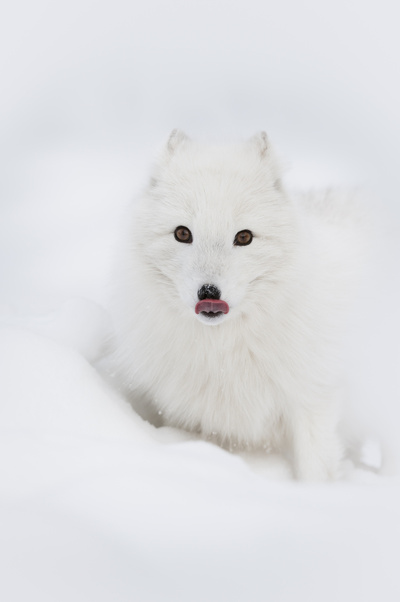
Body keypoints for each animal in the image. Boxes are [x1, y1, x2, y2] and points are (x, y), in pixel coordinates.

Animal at [112, 130, 362, 478]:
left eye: (244, 237)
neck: (225, 348)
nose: (208, 293)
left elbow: (316, 468)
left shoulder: (315, 397)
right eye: (182, 233)